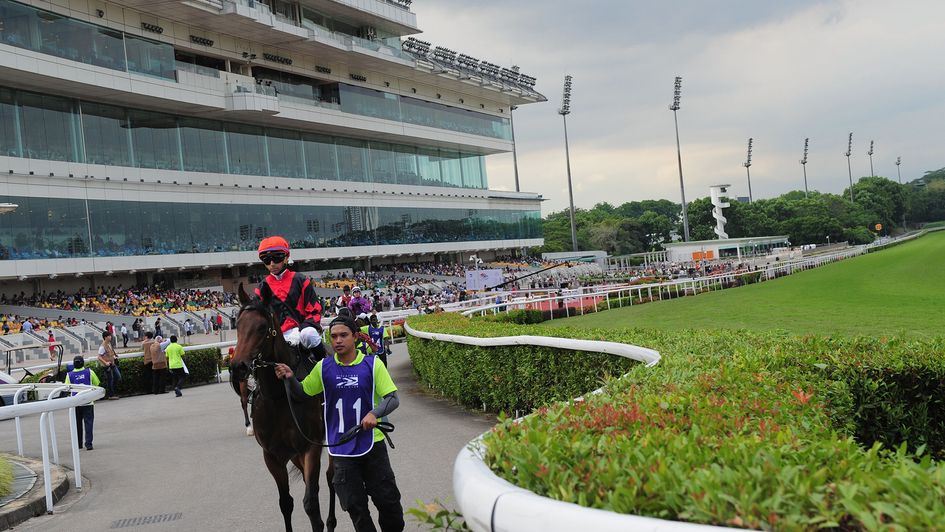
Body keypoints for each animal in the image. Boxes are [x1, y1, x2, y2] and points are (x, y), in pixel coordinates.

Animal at [231, 284, 336, 528]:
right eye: (238, 325)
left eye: (262, 327)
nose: (238, 367)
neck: (279, 396)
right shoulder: (272, 455)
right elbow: (286, 503)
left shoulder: (310, 447)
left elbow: (311, 501)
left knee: (331, 477)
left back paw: (331, 521)